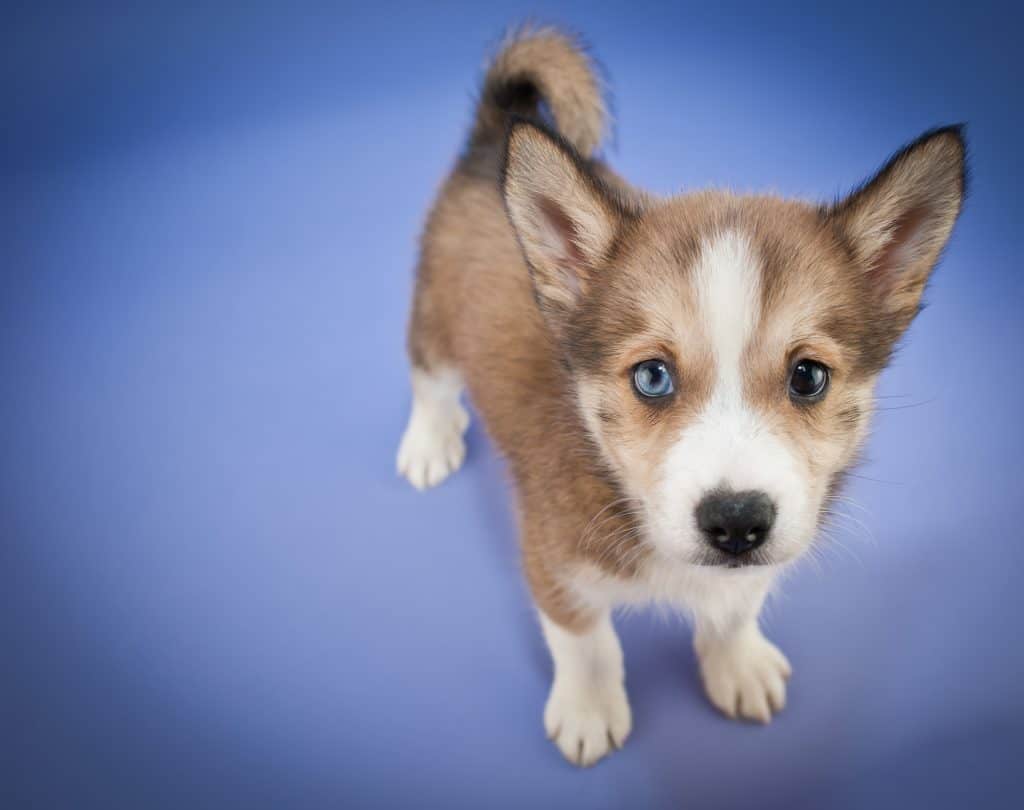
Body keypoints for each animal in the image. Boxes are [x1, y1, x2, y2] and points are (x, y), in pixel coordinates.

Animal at [395, 26, 962, 765]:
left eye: (808, 377)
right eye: (652, 377)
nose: (736, 523)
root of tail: (492, 134)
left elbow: (737, 607)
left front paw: (737, 664)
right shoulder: (551, 563)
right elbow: (586, 641)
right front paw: (588, 710)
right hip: (434, 320)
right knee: (429, 380)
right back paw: (428, 444)